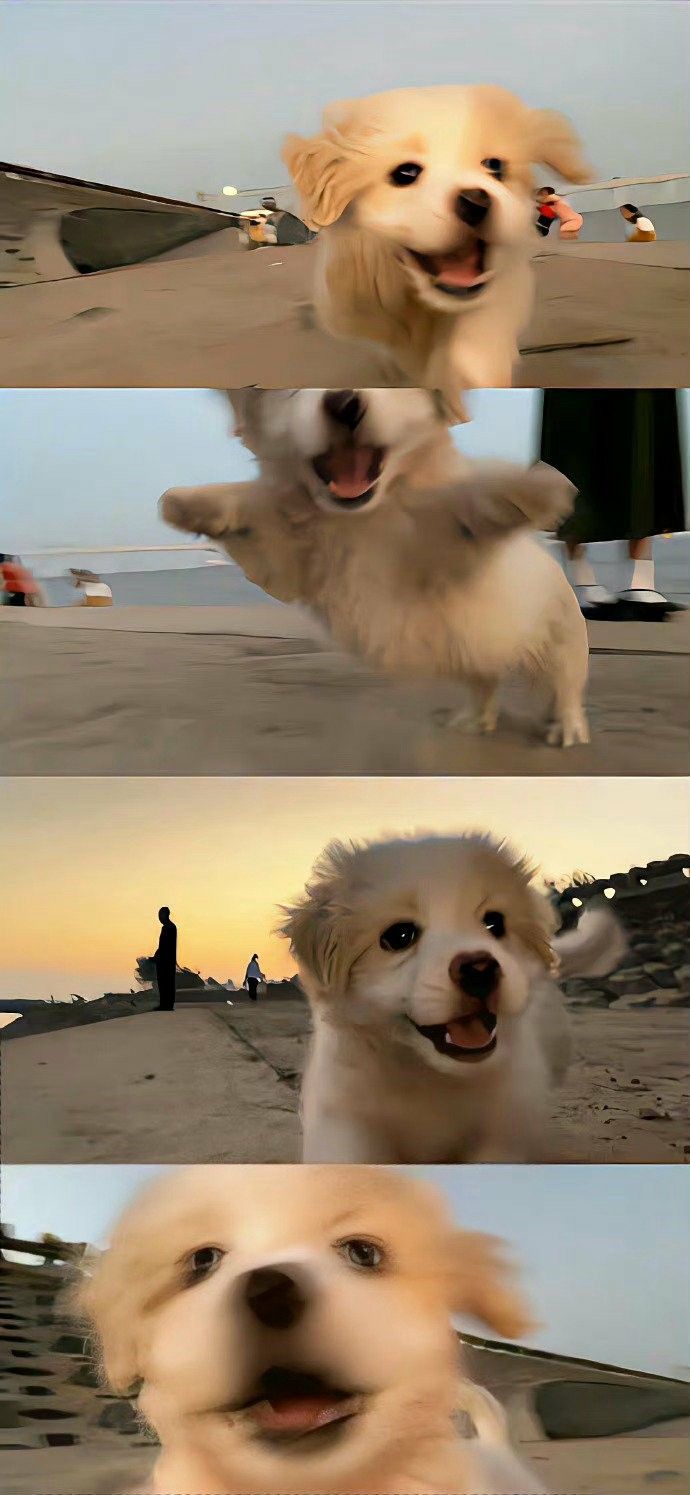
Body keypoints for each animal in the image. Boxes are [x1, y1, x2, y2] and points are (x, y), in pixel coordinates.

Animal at [160, 388, 588, 744]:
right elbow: (258, 509)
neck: (364, 516)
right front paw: (187, 504)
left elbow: (469, 500)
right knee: (485, 684)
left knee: (564, 685)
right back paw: (472, 719)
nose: (344, 401)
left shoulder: (442, 550)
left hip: (559, 639)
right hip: (477, 654)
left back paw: (565, 727)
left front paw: (532, 488)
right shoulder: (291, 551)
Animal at [277, 831, 627, 1166]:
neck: (433, 1078)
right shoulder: (344, 1119)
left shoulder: (504, 1126)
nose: (480, 969)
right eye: (399, 936)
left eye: (494, 922)